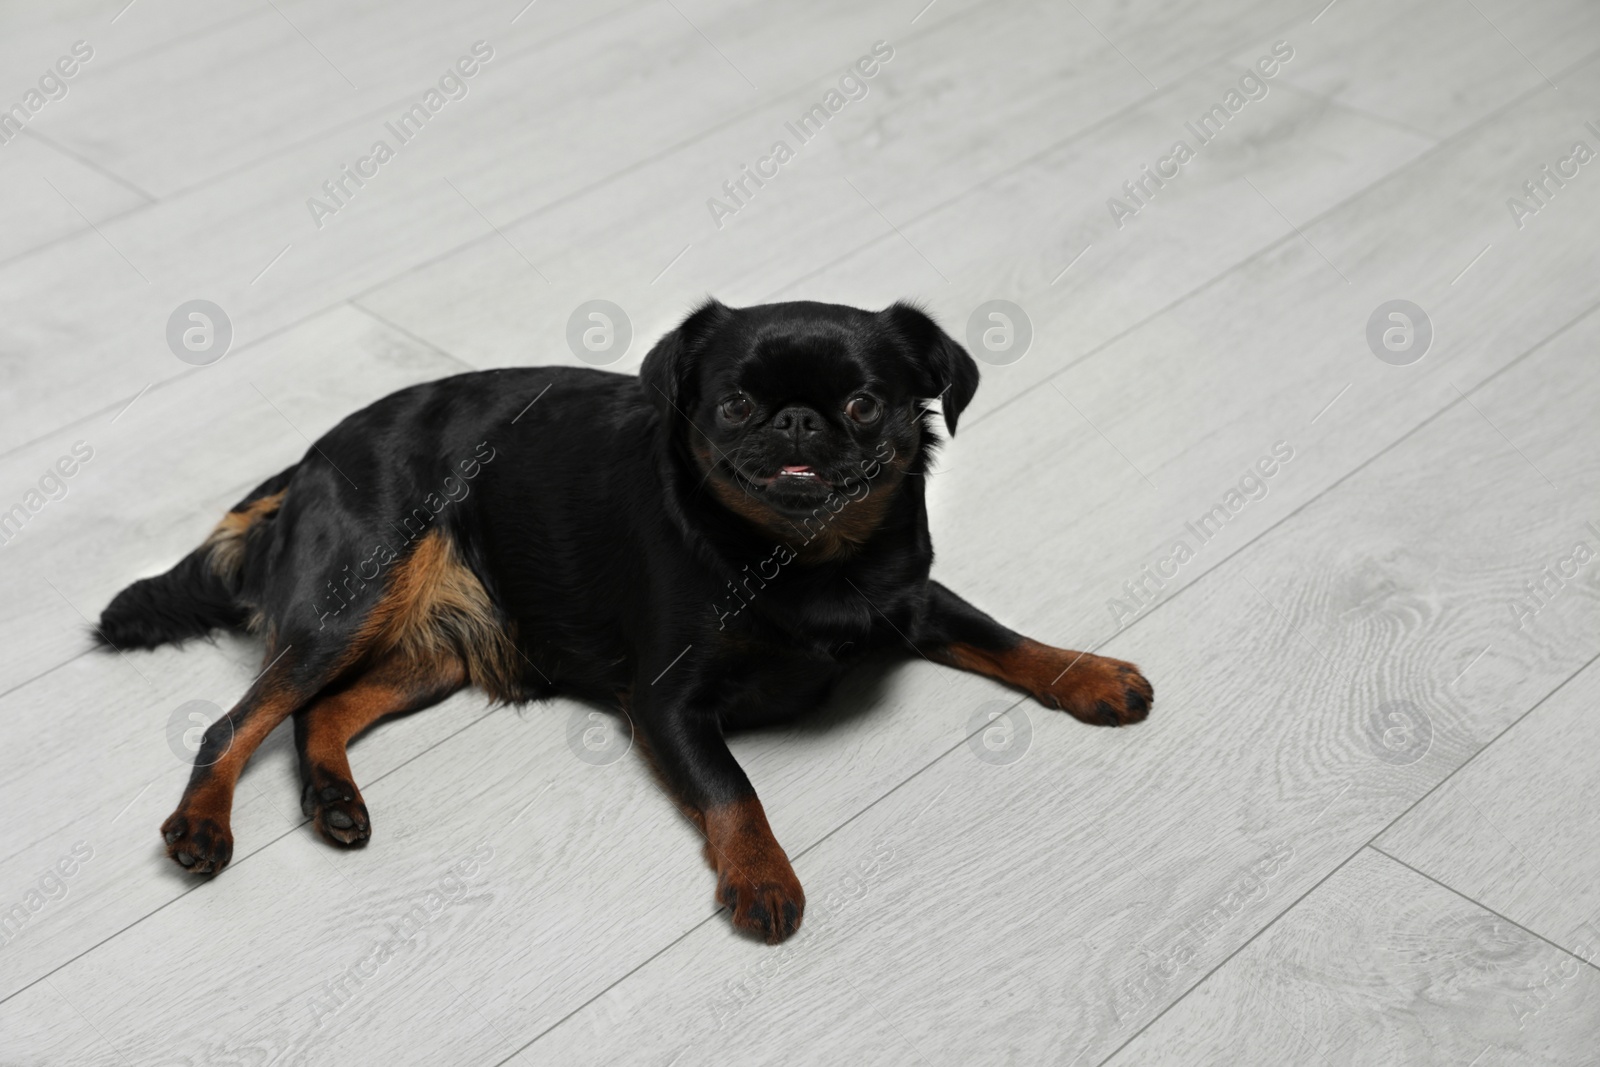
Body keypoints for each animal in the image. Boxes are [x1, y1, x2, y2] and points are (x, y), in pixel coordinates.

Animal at [100, 299, 1152, 940]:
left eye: (864, 404)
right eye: (732, 404)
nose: (799, 421)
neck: (801, 556)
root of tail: (306, 463)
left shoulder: (914, 599)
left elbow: (1007, 637)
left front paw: (1093, 674)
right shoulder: (669, 704)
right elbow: (733, 790)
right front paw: (762, 878)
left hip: (428, 653)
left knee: (321, 711)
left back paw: (335, 801)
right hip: (349, 602)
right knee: (238, 720)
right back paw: (201, 826)